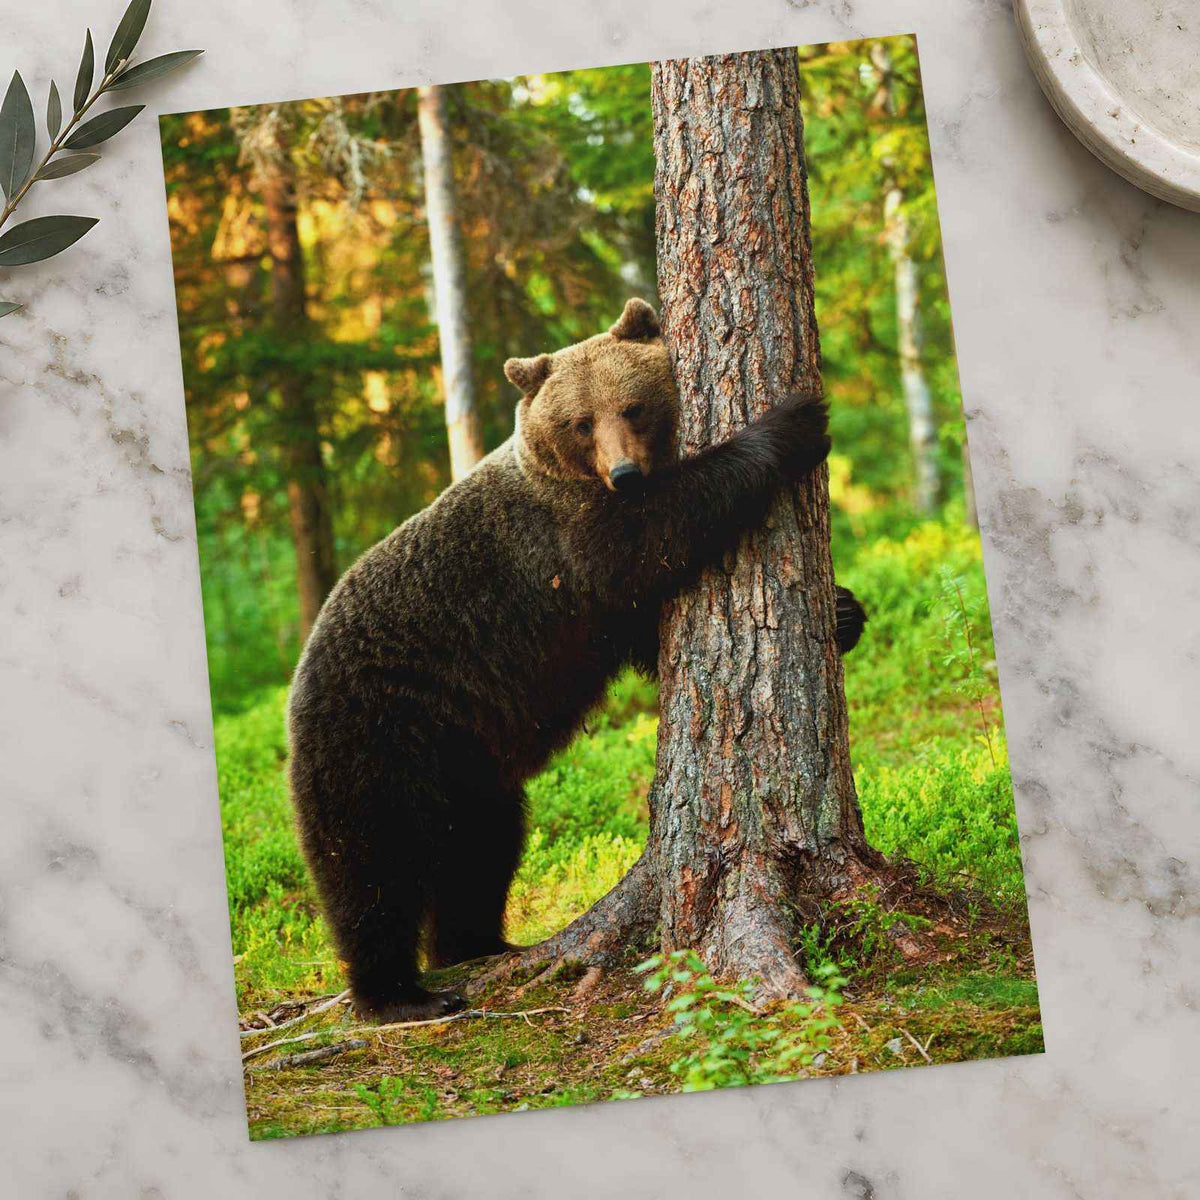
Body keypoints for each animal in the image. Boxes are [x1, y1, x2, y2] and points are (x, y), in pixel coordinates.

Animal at [286, 298, 866, 1022]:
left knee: (481, 847)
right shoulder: (563, 548)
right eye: (580, 421)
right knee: (371, 862)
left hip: (466, 760)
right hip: (377, 733)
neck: (576, 478)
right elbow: (655, 537)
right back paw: (400, 994)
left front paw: (843, 612)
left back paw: (481, 945)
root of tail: (296, 684)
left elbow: (652, 630)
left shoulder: (594, 603)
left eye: (633, 407)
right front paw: (793, 422)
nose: (625, 473)